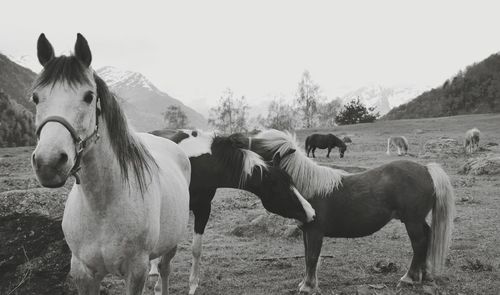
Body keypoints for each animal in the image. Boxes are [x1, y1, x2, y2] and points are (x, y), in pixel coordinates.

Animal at [30, 33, 191, 294]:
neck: (102, 207)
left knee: (165, 270)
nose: (48, 162)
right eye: (35, 97)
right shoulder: (83, 273)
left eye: (88, 96)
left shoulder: (136, 272)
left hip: (171, 244)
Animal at [150, 130, 314, 295]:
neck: (202, 162)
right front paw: (159, 287)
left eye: (292, 182)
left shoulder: (203, 208)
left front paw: (192, 285)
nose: (311, 213)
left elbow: (196, 249)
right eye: (279, 187)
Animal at [252, 131, 456, 295]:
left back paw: (409, 278)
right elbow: (307, 257)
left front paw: (308, 287)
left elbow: (312, 257)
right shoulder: (306, 232)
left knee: (419, 244)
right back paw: (425, 274)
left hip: (412, 221)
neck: (308, 188)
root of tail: (426, 169)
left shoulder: (315, 232)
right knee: (428, 237)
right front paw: (306, 283)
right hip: (417, 220)